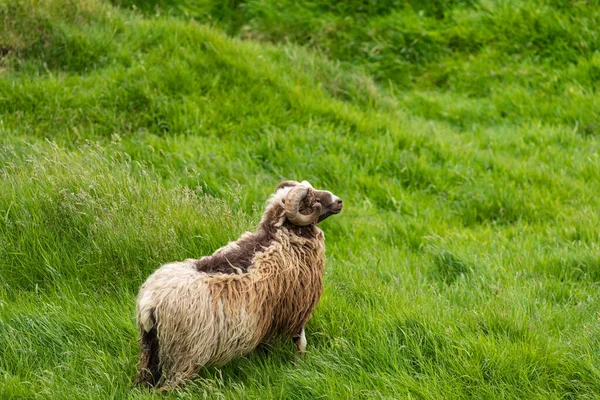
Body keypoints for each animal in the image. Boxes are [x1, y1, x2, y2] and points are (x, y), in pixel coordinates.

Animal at [135, 180, 342, 386]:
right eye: (312, 199)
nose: (339, 201)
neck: (281, 237)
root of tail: (150, 305)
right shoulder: (296, 308)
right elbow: (300, 342)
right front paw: (298, 364)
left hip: (151, 350)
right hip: (184, 354)